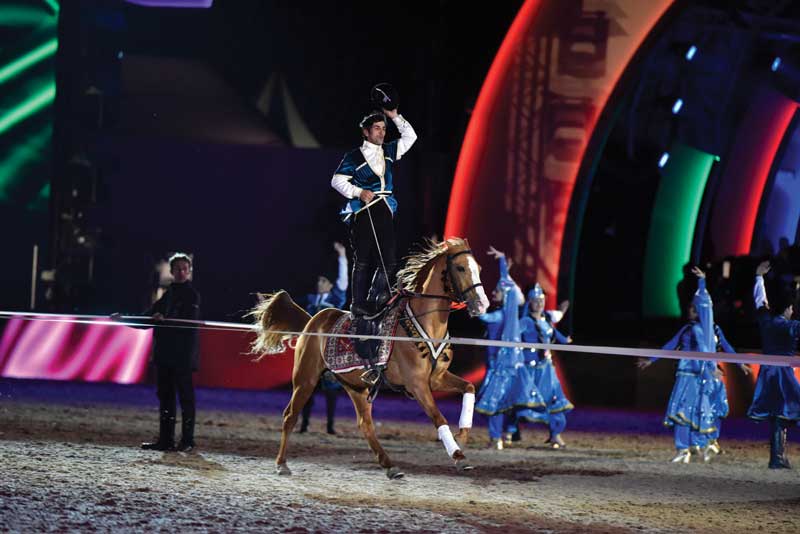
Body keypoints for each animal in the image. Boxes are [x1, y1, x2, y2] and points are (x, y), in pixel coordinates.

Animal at [252, 240, 488, 482]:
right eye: (460, 268)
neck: (423, 325)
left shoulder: (436, 379)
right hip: (305, 380)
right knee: (290, 416)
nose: (482, 304)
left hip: (356, 387)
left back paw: (390, 466)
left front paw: (462, 435)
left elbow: (469, 387)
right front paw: (458, 455)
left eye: (478, 268)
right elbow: (439, 418)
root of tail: (312, 320)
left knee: (365, 425)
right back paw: (281, 464)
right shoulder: (417, 385)